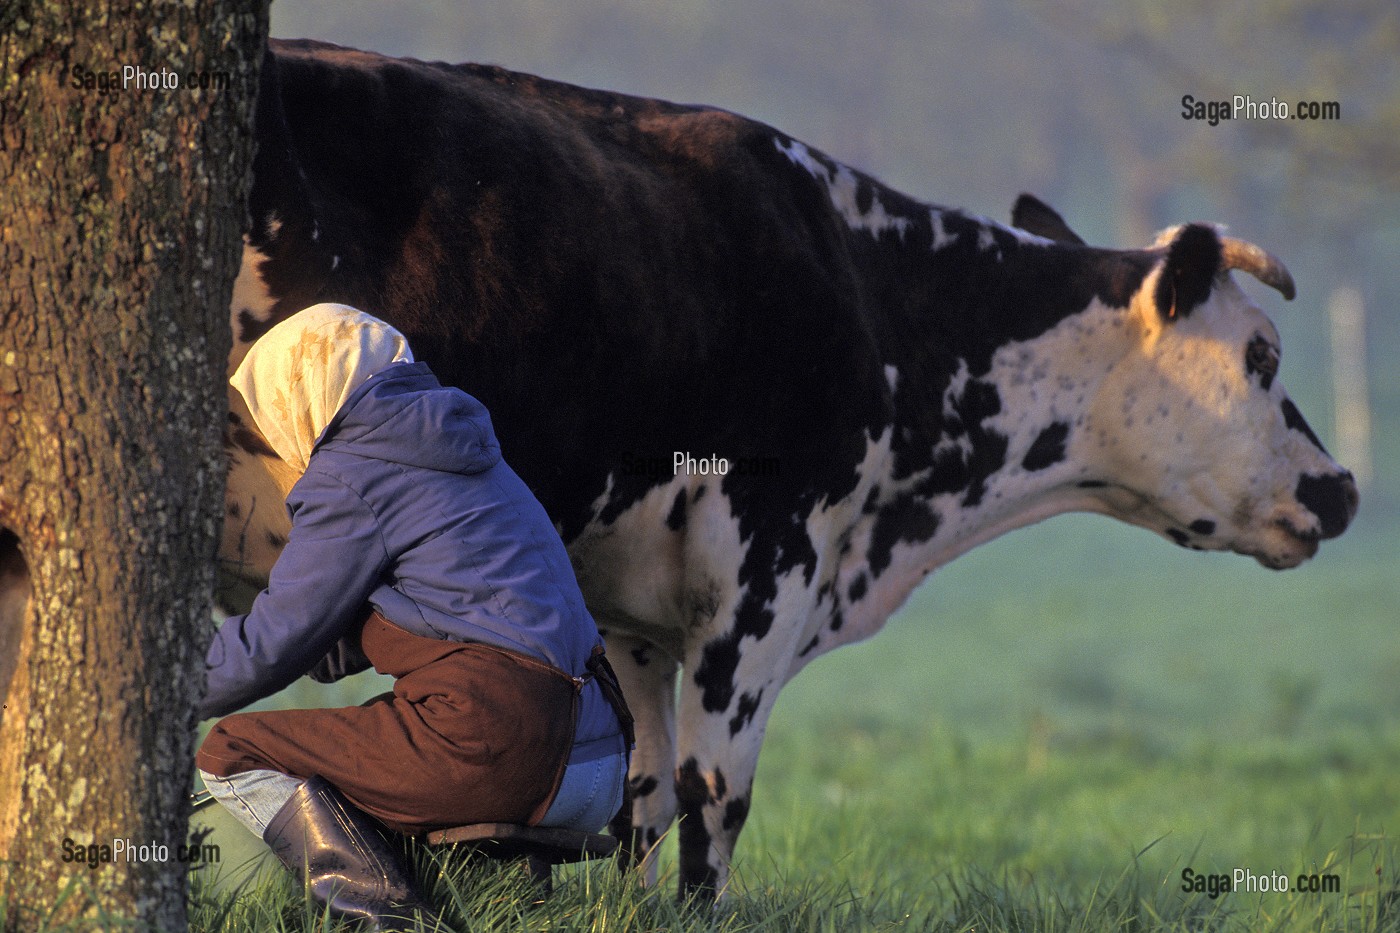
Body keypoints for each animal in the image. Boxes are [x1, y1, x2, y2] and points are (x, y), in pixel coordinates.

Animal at [221, 41, 1355, 896]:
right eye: (1261, 354)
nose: (1340, 487)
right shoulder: (764, 564)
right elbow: (710, 793)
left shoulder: (634, 607)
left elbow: (638, 794)